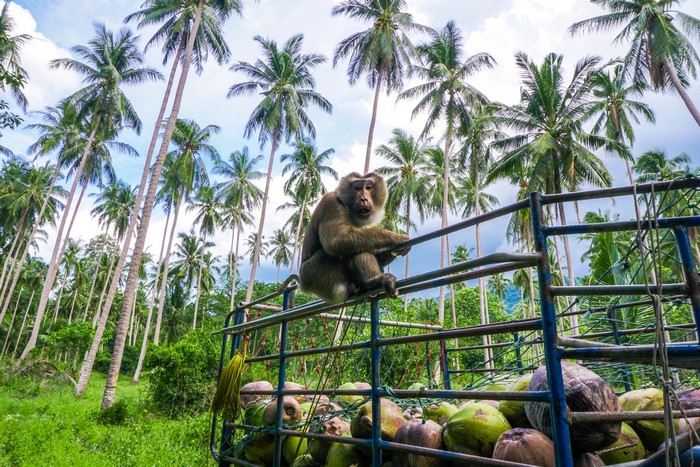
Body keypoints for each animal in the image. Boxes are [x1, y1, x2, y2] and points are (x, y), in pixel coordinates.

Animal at [298, 172, 410, 304]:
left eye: (368, 187)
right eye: (357, 188)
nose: (363, 199)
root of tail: (304, 285)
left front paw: (388, 254)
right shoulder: (331, 202)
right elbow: (335, 241)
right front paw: (398, 238)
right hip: (315, 274)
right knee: (349, 249)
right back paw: (373, 280)